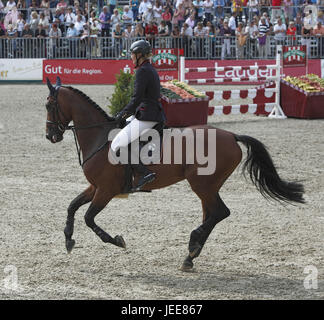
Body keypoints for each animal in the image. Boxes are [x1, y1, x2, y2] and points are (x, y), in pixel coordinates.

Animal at [43, 76, 304, 272]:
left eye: (48, 105)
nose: (50, 136)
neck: (99, 138)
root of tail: (231, 136)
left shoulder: (106, 190)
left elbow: (89, 218)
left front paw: (117, 241)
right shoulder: (96, 187)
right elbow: (72, 206)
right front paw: (68, 239)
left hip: (202, 185)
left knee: (220, 212)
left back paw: (192, 245)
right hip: (208, 187)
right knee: (212, 214)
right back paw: (191, 255)